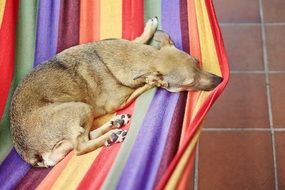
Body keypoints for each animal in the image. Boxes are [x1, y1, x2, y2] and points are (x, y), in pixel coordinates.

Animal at [9, 17, 222, 167]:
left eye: (198, 62)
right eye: (190, 83)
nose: (220, 80)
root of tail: (29, 153)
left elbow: (137, 40)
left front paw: (150, 29)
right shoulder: (118, 100)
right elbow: (140, 87)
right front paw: (151, 83)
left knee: (86, 136)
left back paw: (115, 125)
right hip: (80, 108)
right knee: (81, 147)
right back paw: (112, 134)